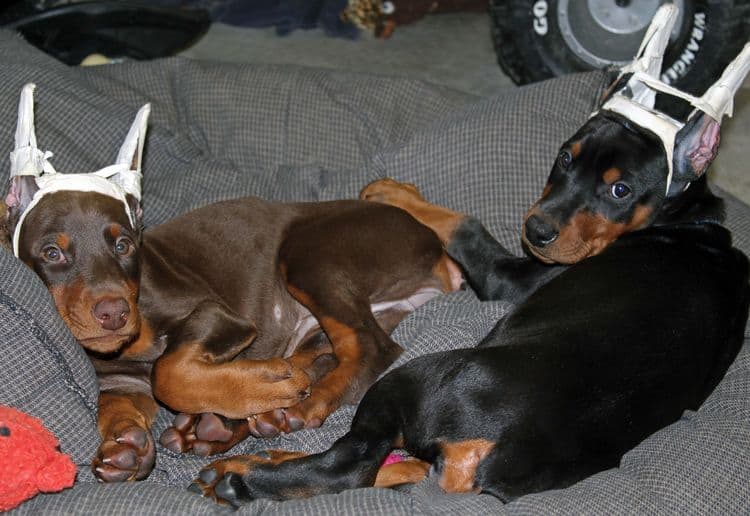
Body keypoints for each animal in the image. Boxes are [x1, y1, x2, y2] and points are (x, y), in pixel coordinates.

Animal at [191, 101, 750, 504]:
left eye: (621, 190)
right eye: (565, 157)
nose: (536, 230)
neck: (686, 220)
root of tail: (491, 450)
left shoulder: (510, 276)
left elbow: (462, 222)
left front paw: (393, 191)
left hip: (407, 381)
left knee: (350, 465)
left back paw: (240, 476)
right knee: (394, 470)